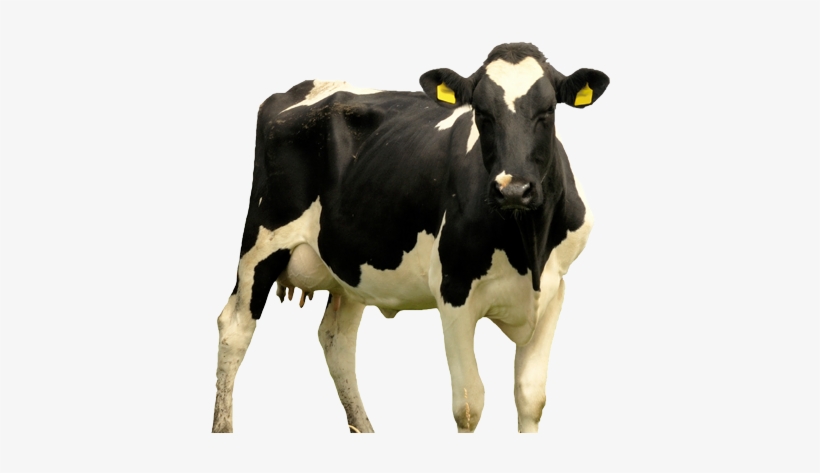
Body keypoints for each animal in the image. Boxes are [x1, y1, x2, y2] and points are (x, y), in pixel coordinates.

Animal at [212, 42, 608, 433]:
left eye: (547, 110)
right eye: (481, 112)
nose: (513, 189)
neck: (528, 248)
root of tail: (300, 88)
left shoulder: (554, 289)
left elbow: (530, 397)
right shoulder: (453, 289)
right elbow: (469, 404)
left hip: (351, 263)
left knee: (336, 340)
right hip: (262, 240)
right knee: (235, 327)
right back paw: (223, 426)